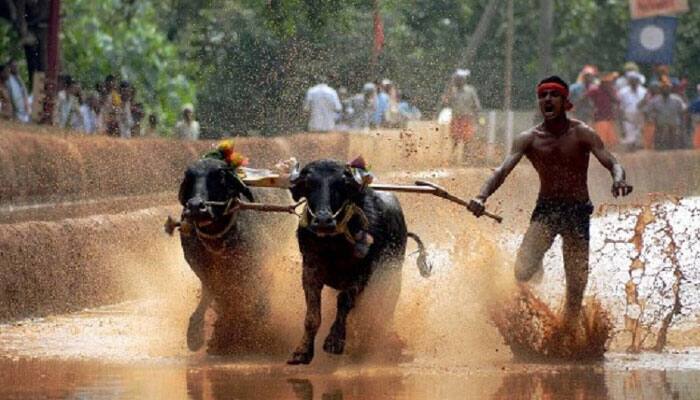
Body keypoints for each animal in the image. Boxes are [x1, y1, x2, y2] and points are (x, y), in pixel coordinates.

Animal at [180, 158, 292, 354]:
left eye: (220, 176)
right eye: (188, 177)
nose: (195, 207)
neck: (218, 240)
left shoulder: (255, 264)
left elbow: (254, 295)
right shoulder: (202, 269)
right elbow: (214, 294)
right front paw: (202, 335)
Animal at [286, 159, 430, 366]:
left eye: (342, 185)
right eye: (308, 184)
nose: (323, 220)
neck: (333, 244)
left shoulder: (364, 272)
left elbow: (344, 301)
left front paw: (334, 341)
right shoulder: (310, 269)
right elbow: (312, 314)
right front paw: (302, 351)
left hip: (392, 274)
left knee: (386, 307)